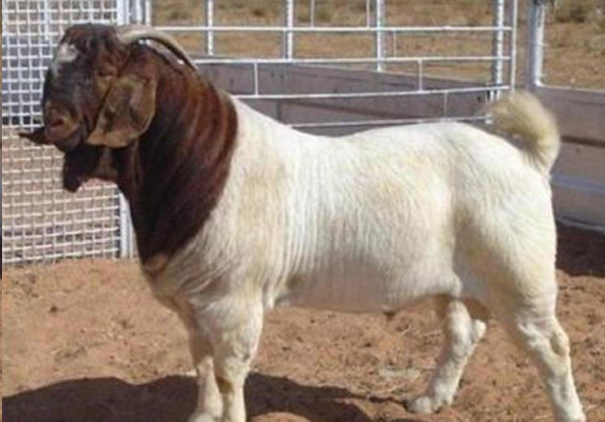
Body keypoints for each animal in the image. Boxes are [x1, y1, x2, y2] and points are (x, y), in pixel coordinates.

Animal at [22, 24, 586, 422]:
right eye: (51, 70)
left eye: (103, 71)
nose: (52, 123)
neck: (202, 164)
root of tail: (527, 156)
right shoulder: (193, 304)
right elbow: (201, 364)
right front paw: (202, 416)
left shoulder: (234, 301)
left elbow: (228, 373)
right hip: (453, 285)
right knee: (465, 333)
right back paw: (429, 401)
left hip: (522, 278)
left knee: (554, 349)